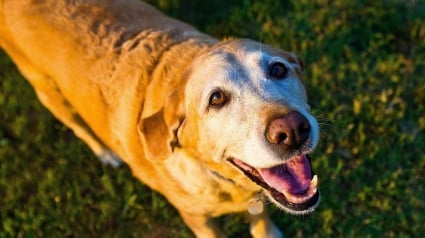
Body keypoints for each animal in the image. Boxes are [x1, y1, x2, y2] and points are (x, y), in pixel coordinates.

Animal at [0, 0, 318, 237]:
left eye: (278, 69)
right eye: (216, 99)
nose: (292, 131)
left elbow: (261, 218)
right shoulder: (197, 220)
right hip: (47, 90)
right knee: (78, 126)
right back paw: (105, 153)